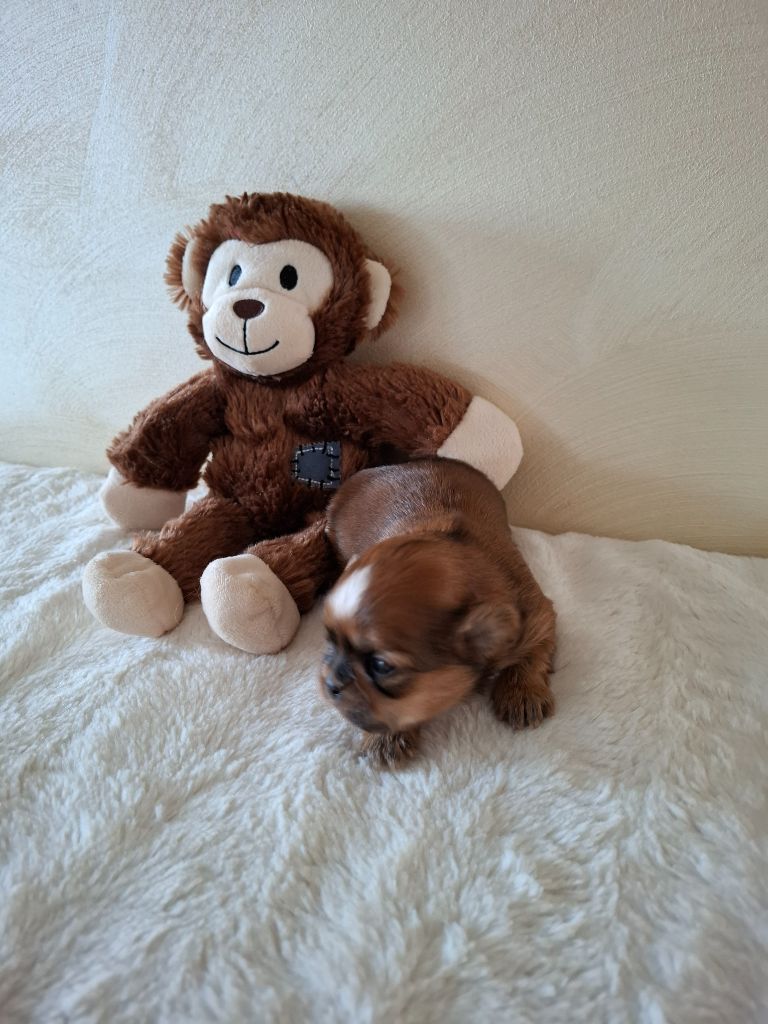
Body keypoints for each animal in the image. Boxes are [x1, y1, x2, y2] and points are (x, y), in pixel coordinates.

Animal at [321, 458, 556, 767]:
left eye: (381, 666)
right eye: (329, 641)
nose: (330, 684)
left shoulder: (537, 614)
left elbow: (533, 651)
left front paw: (522, 694)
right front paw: (386, 739)